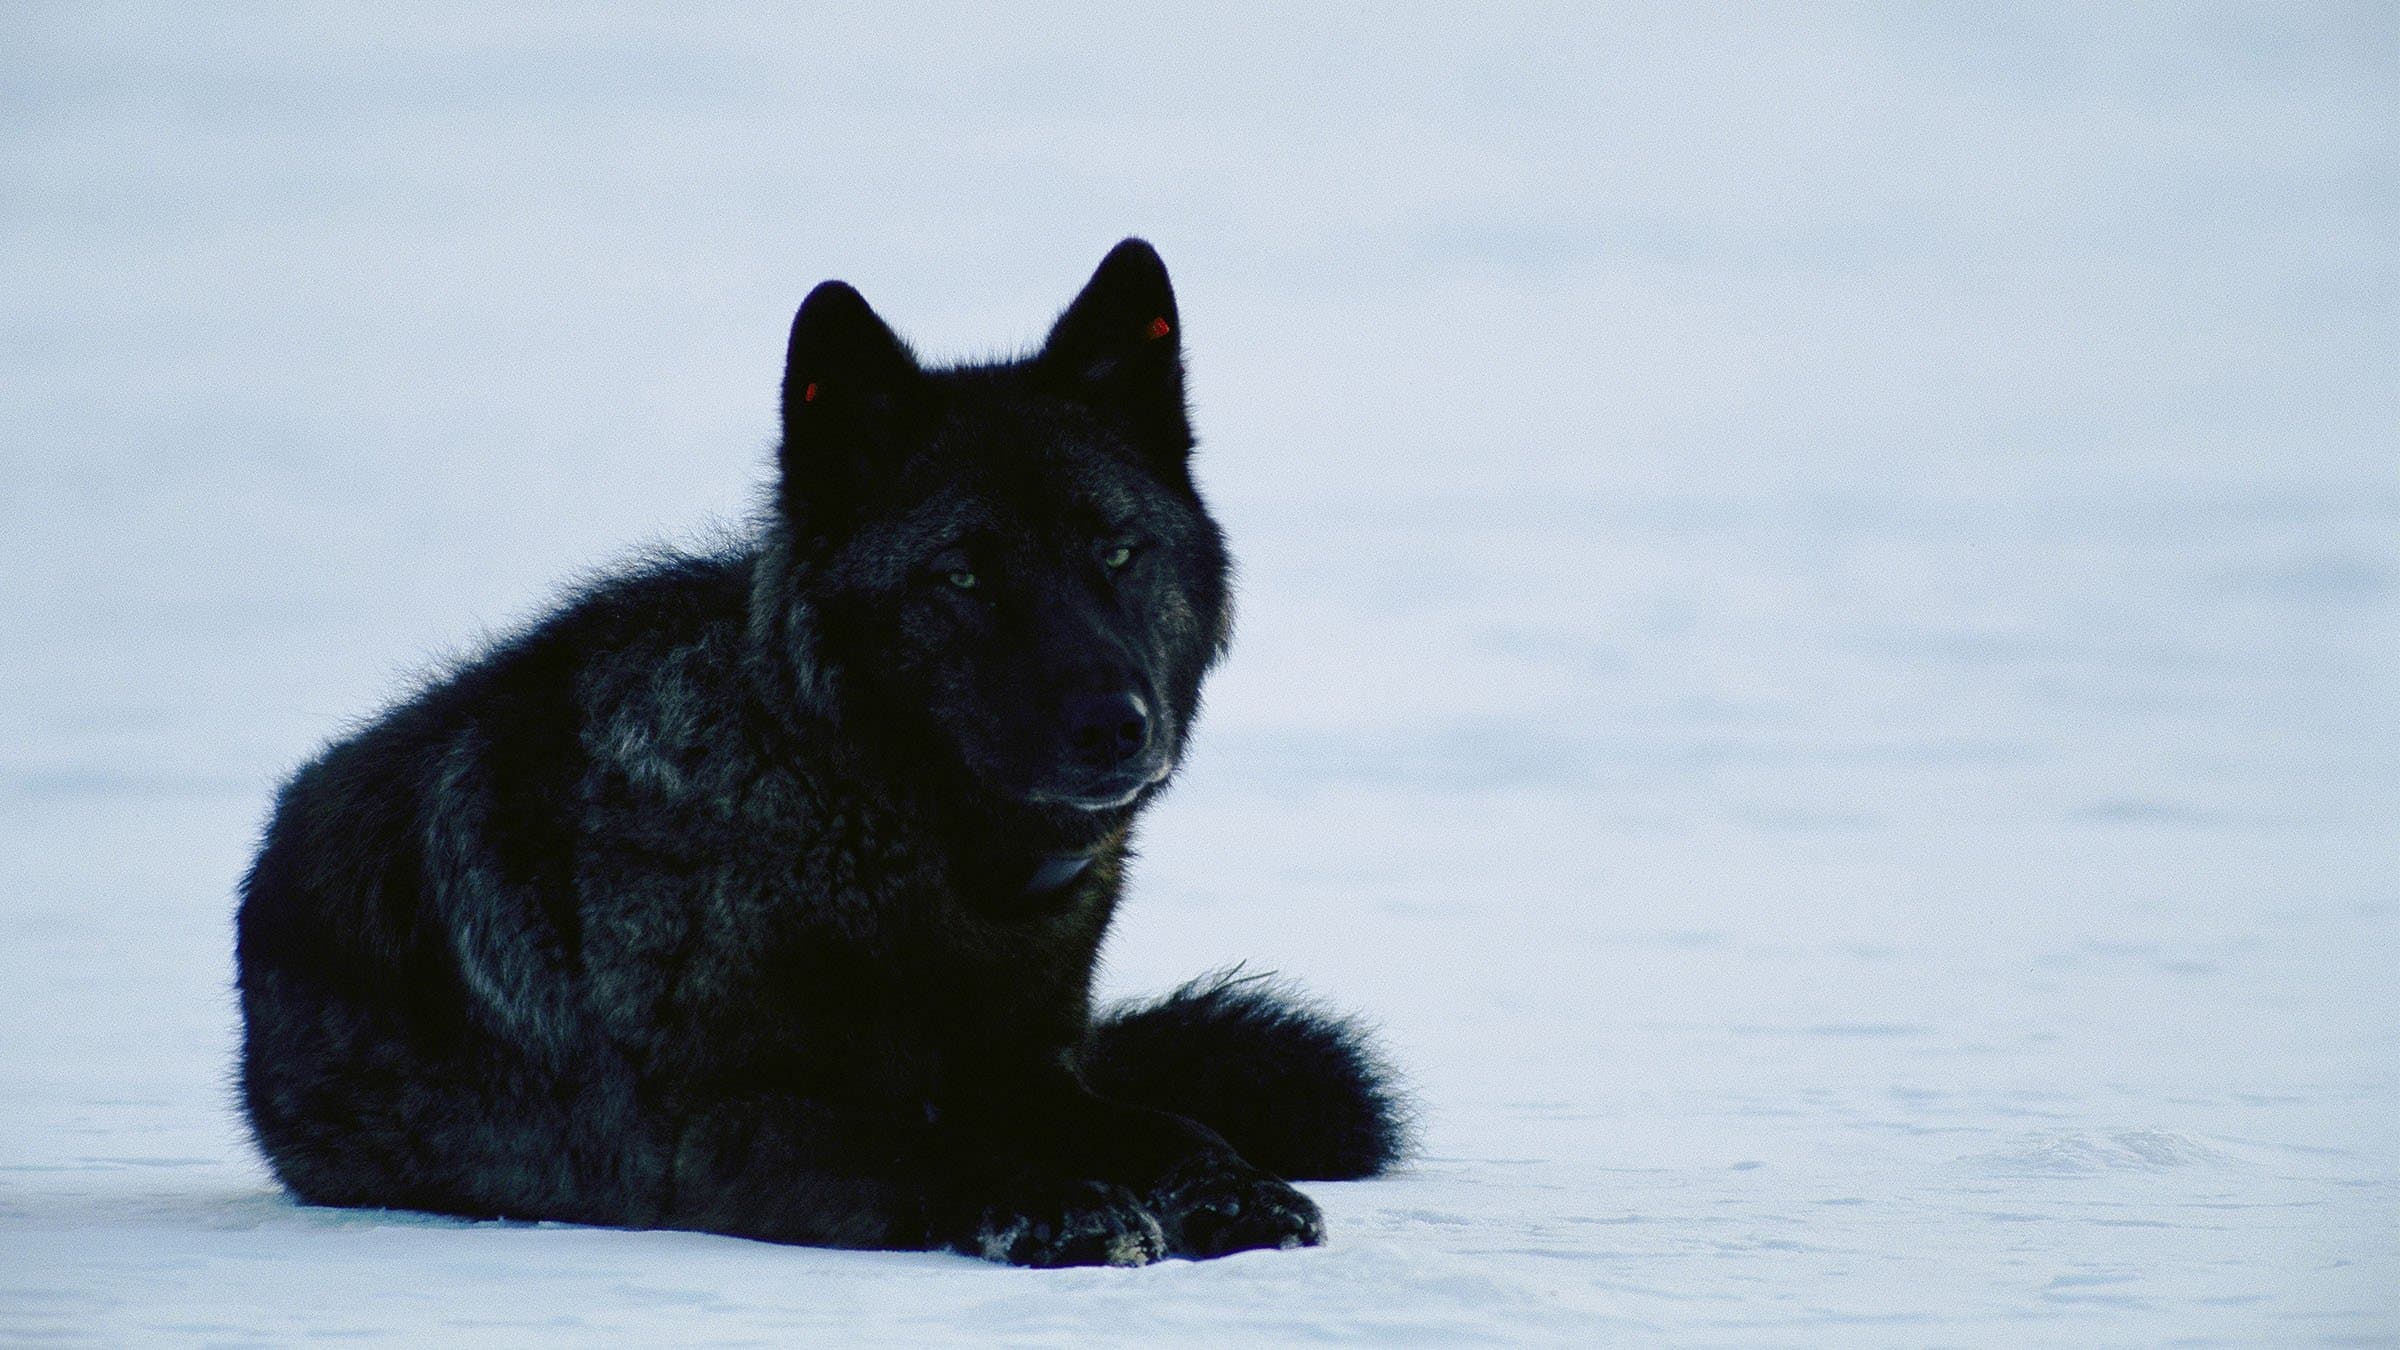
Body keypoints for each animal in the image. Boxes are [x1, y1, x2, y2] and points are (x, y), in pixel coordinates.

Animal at [234, 239, 1409, 1266]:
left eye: (1117, 553)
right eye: (964, 577)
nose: (1117, 726)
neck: (876, 835)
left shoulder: (1035, 1074)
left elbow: (1165, 1125)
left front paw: (1234, 1190)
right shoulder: (717, 1132)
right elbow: (927, 1143)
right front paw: (1061, 1205)